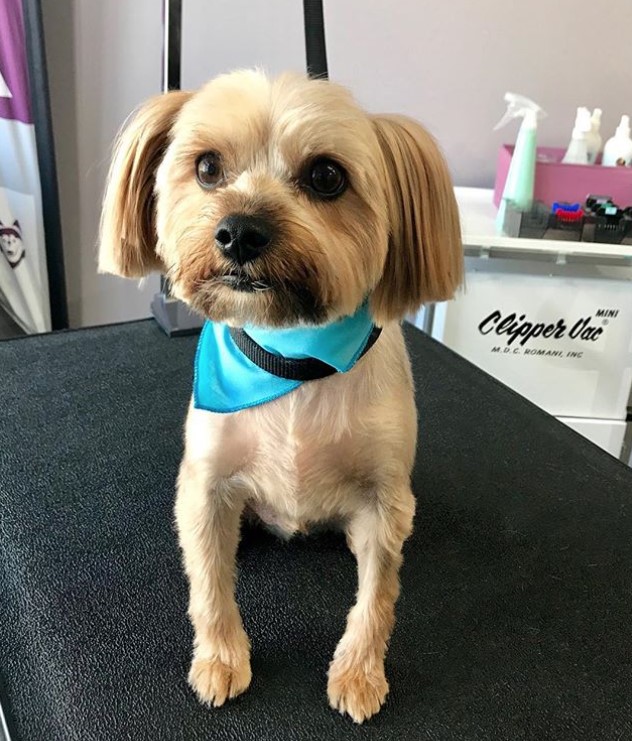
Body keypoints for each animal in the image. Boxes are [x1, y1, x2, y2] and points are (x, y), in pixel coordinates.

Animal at [100, 71, 464, 724]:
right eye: (208, 167)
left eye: (326, 177)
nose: (239, 231)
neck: (292, 359)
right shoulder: (205, 483)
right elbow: (209, 584)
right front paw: (220, 658)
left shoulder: (386, 499)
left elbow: (378, 596)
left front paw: (359, 673)